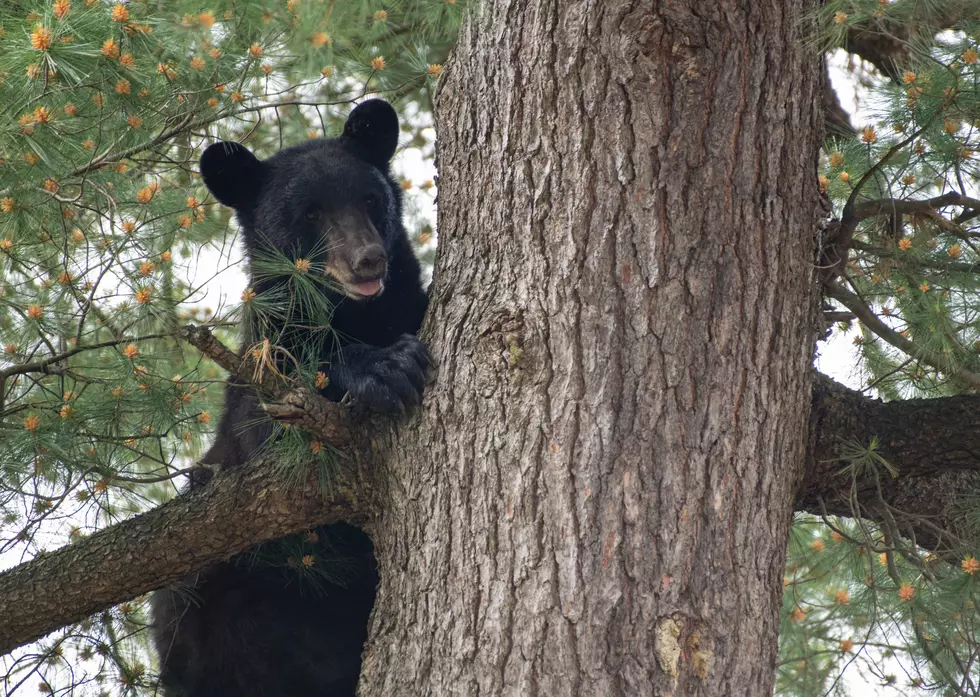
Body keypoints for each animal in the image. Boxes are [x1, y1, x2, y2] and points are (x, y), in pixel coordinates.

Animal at [150, 99, 428, 696]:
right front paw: (386, 368)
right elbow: (272, 423)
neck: (355, 314)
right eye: (311, 214)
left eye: (370, 199)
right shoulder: (257, 372)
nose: (368, 260)